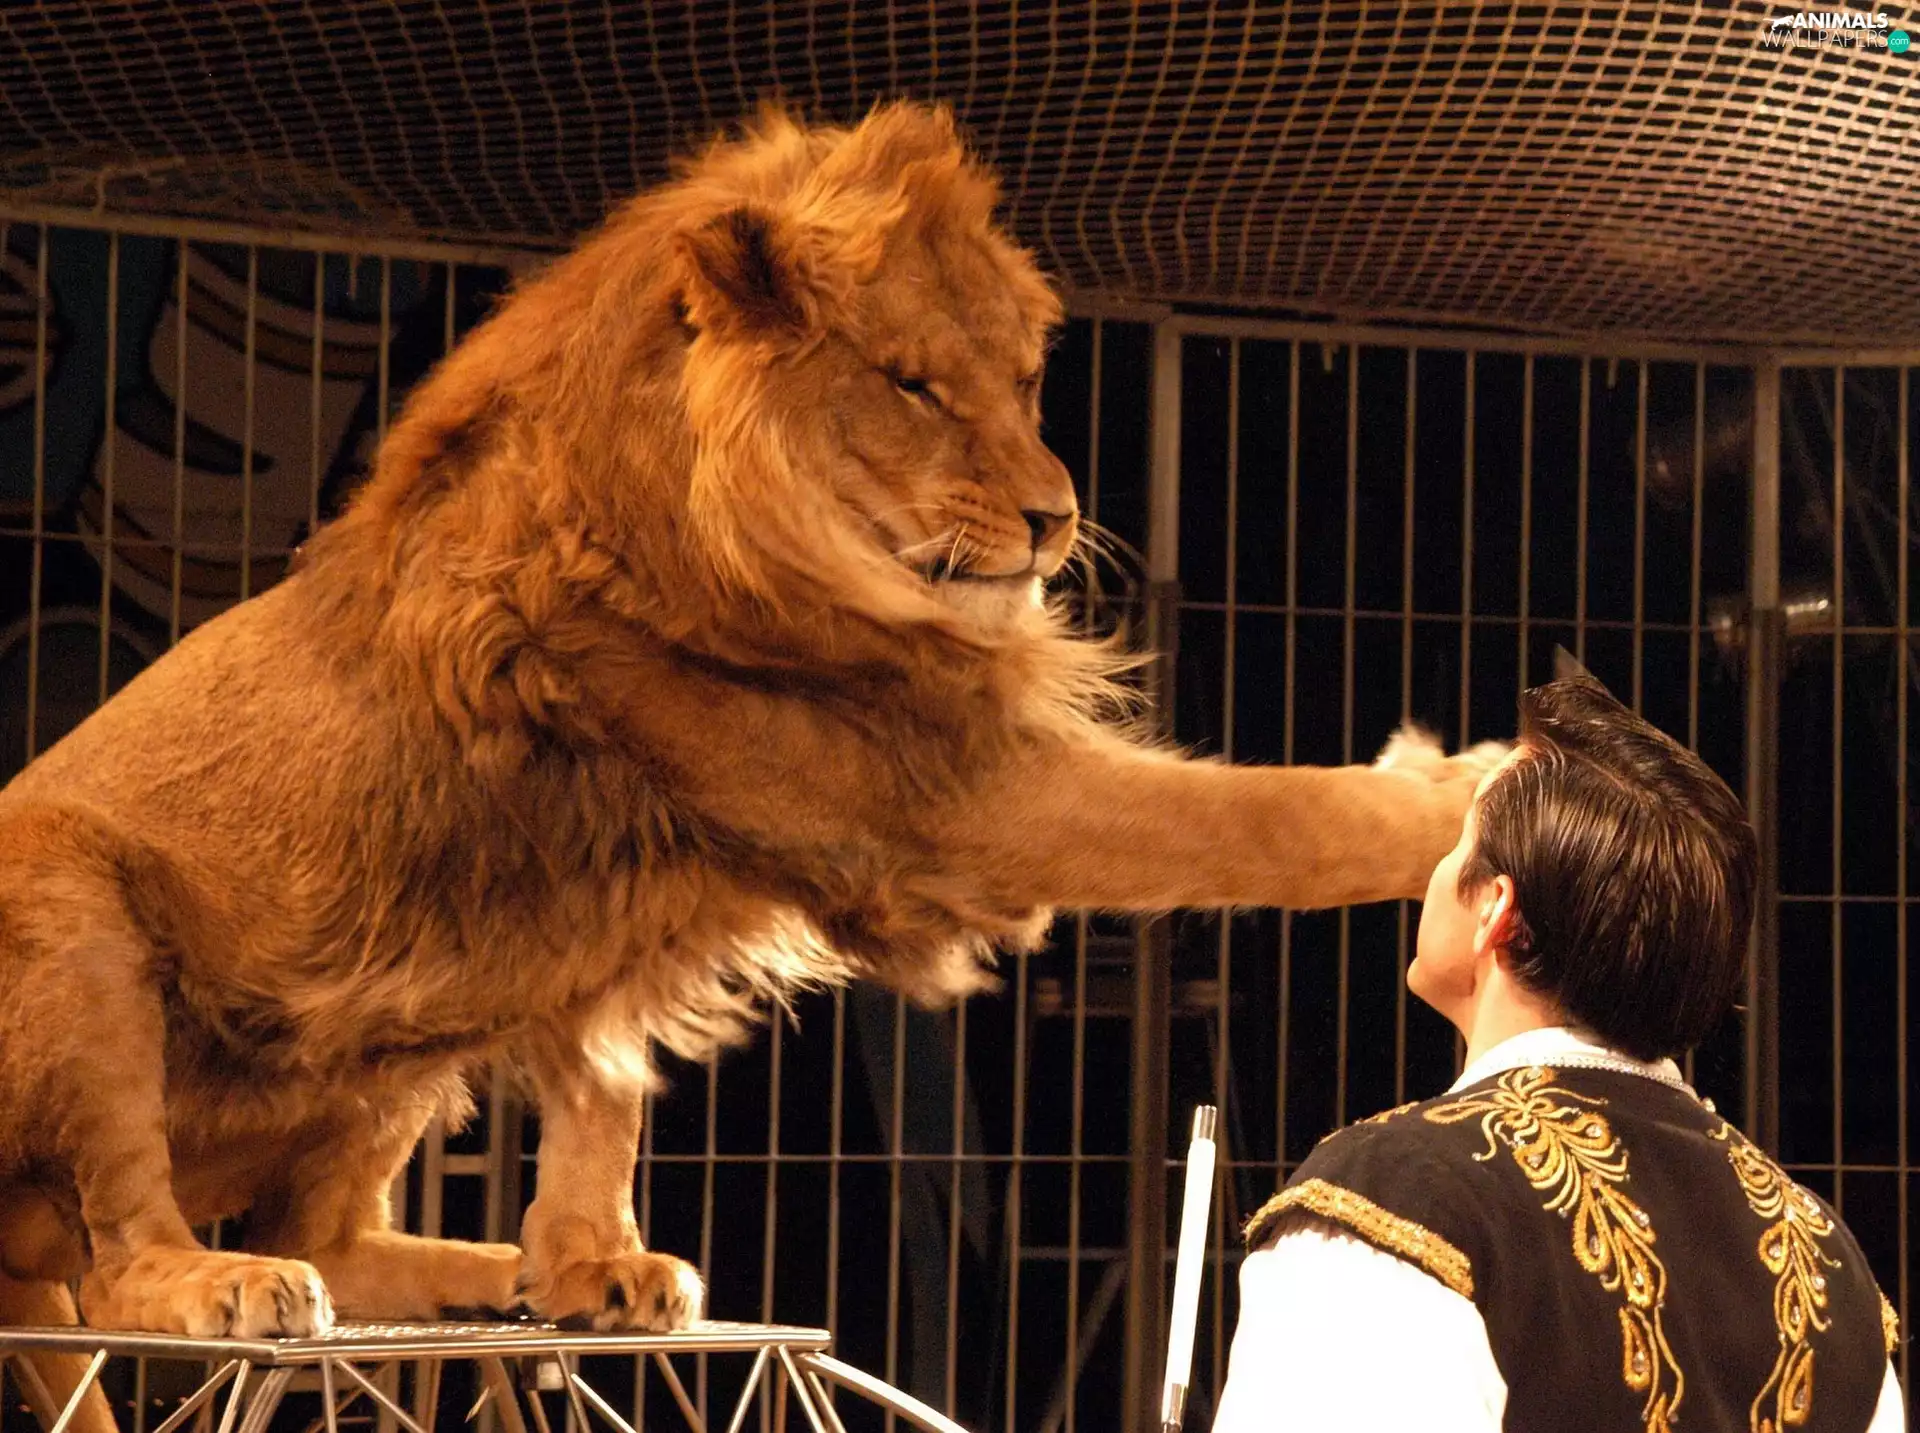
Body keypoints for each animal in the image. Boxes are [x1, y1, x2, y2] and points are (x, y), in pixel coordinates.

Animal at [0, 101, 1497, 1422]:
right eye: (911, 385)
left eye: (1023, 381)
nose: (1055, 517)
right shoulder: (946, 799)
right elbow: (1262, 820)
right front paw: (1474, 788)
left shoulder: (609, 916)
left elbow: (602, 1087)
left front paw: (588, 1262)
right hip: (79, 915)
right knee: (120, 1244)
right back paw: (217, 1278)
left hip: (402, 1025)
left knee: (326, 1225)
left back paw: (477, 1272)